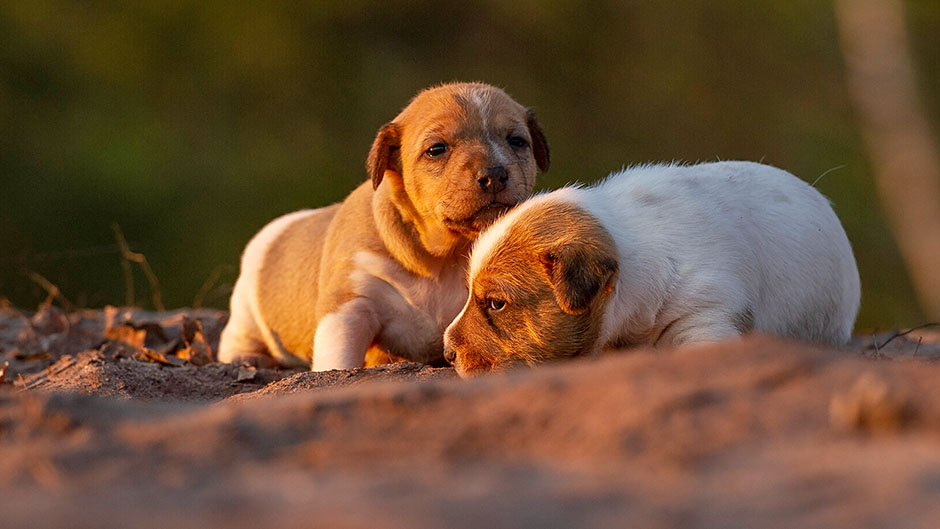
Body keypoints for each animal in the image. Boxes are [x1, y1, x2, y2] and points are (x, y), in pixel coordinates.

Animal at [216, 83, 548, 372]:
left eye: (517, 141)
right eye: (436, 149)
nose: (494, 175)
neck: (441, 257)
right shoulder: (349, 306)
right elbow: (338, 358)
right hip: (246, 310)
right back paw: (248, 358)